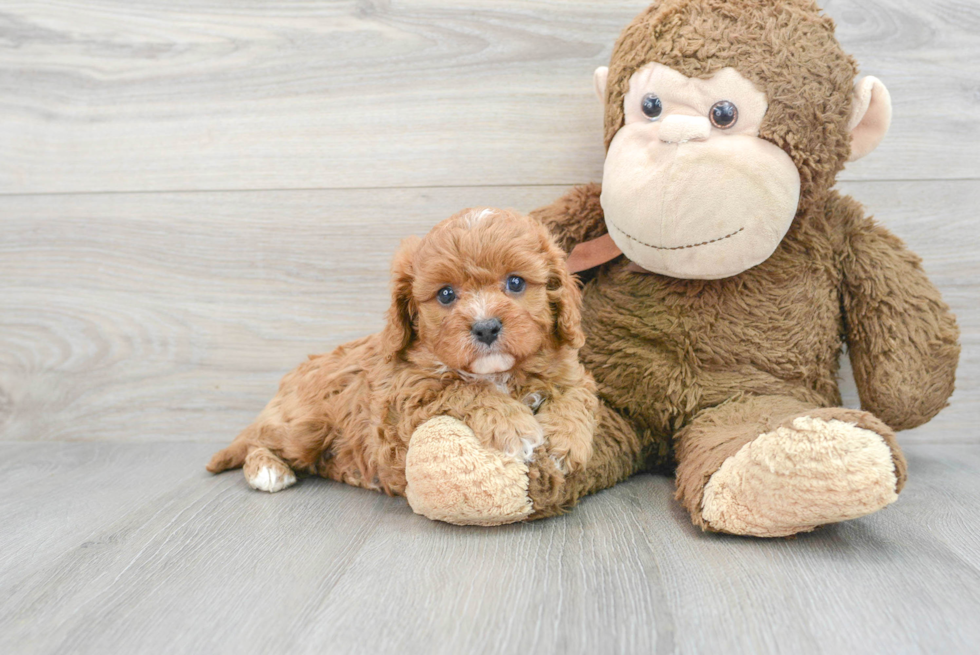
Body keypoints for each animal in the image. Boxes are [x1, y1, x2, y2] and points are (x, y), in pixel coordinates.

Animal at [205, 210, 596, 498]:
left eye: (515, 282)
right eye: (445, 294)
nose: (486, 328)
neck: (497, 372)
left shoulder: (570, 372)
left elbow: (576, 397)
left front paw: (565, 445)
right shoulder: (409, 395)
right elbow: (466, 389)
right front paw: (516, 428)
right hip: (303, 427)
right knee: (259, 439)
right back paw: (267, 469)